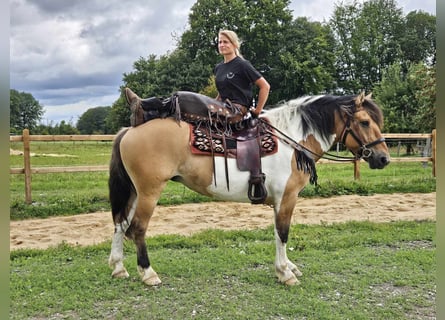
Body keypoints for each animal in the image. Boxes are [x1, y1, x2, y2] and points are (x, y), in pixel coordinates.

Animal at [106, 91, 388, 286]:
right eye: (364, 122)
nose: (383, 158)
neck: (291, 139)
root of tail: (129, 130)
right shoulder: (287, 198)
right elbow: (283, 233)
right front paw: (285, 273)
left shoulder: (278, 201)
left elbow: (277, 232)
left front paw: (288, 267)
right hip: (149, 192)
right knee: (137, 228)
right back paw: (148, 274)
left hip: (134, 192)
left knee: (120, 224)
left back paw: (119, 268)